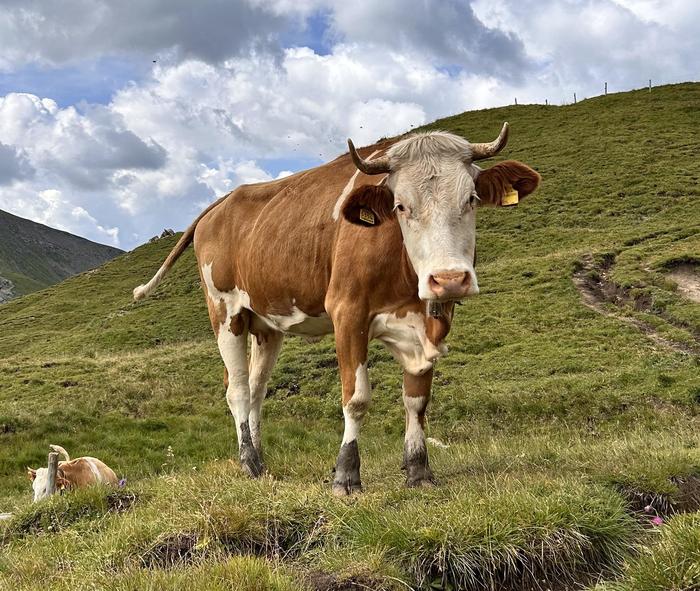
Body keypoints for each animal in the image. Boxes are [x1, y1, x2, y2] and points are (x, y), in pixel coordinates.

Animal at [137, 123, 540, 494]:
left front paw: (419, 471)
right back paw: (249, 462)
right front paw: (346, 476)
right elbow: (356, 398)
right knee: (236, 389)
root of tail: (223, 202)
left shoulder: (428, 323)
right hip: (225, 311)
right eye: (400, 206)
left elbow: (417, 400)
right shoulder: (348, 312)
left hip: (265, 323)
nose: (449, 279)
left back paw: (261, 458)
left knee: (255, 388)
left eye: (471, 198)